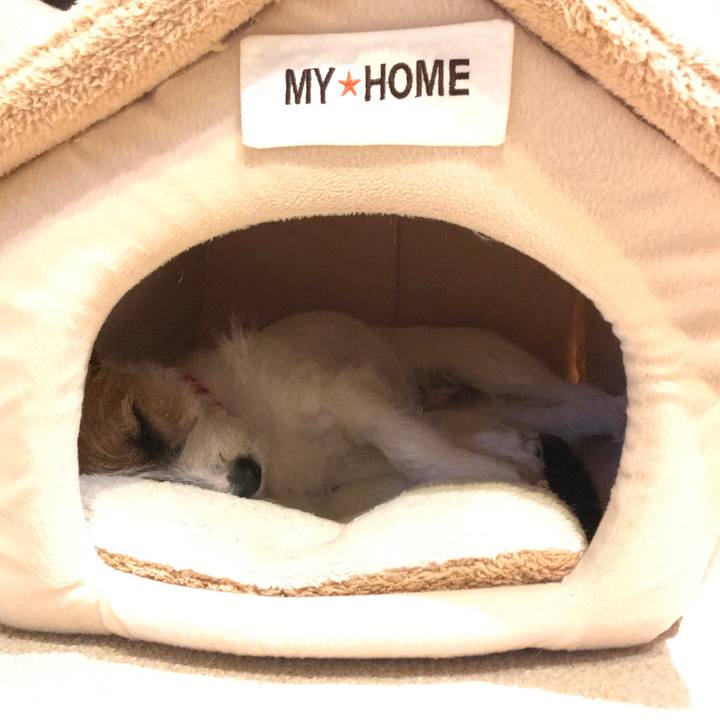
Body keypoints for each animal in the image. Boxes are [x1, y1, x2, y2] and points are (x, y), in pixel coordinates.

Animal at [79, 311, 625, 508]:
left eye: (144, 424)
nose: (246, 479)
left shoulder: (346, 396)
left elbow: (413, 448)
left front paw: (496, 476)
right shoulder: (344, 460)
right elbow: (418, 452)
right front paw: (499, 467)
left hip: (486, 359)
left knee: (575, 398)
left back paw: (619, 412)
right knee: (522, 417)